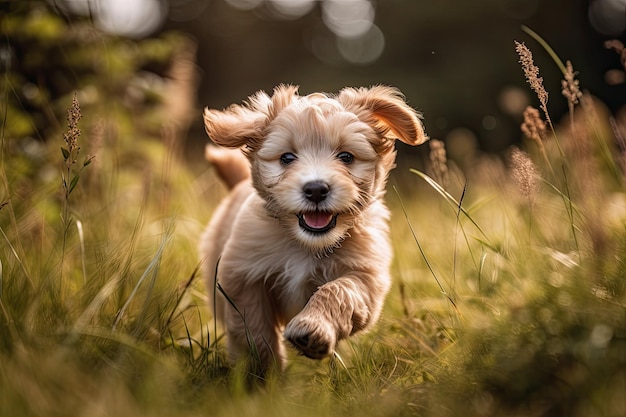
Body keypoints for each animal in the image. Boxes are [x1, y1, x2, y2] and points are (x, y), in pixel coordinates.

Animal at [197, 84, 426, 374]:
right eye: (286, 158)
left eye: (346, 157)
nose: (316, 189)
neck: (306, 244)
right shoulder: (242, 276)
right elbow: (254, 327)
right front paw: (263, 373)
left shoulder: (366, 276)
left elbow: (338, 290)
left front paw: (312, 330)